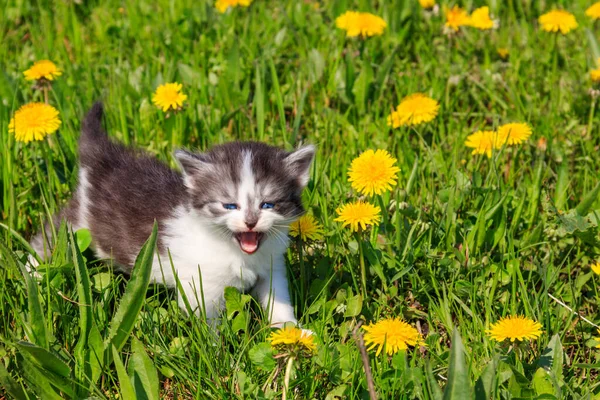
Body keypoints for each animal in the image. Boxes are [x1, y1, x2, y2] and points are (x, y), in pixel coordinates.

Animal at [31, 103, 316, 328]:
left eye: (267, 204)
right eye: (230, 205)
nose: (250, 221)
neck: (238, 253)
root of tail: (103, 155)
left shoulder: (272, 265)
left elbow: (278, 297)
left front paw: (291, 332)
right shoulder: (201, 285)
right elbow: (208, 322)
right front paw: (218, 353)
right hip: (77, 225)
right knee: (48, 238)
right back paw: (34, 273)